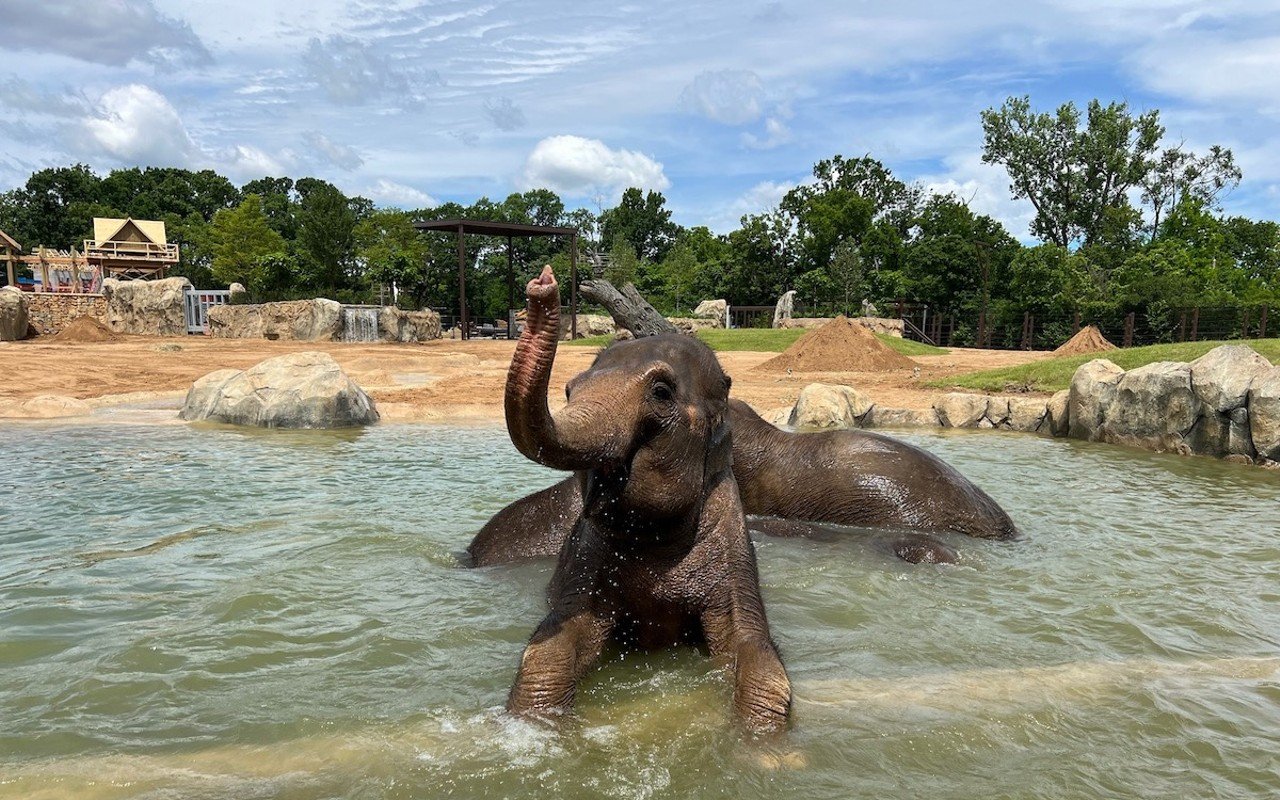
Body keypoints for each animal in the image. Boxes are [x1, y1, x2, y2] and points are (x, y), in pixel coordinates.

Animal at [499, 266, 788, 732]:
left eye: (662, 392)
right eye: (569, 391)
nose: (542, 282)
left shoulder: (733, 545)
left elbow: (751, 647)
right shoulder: (586, 555)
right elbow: (557, 642)